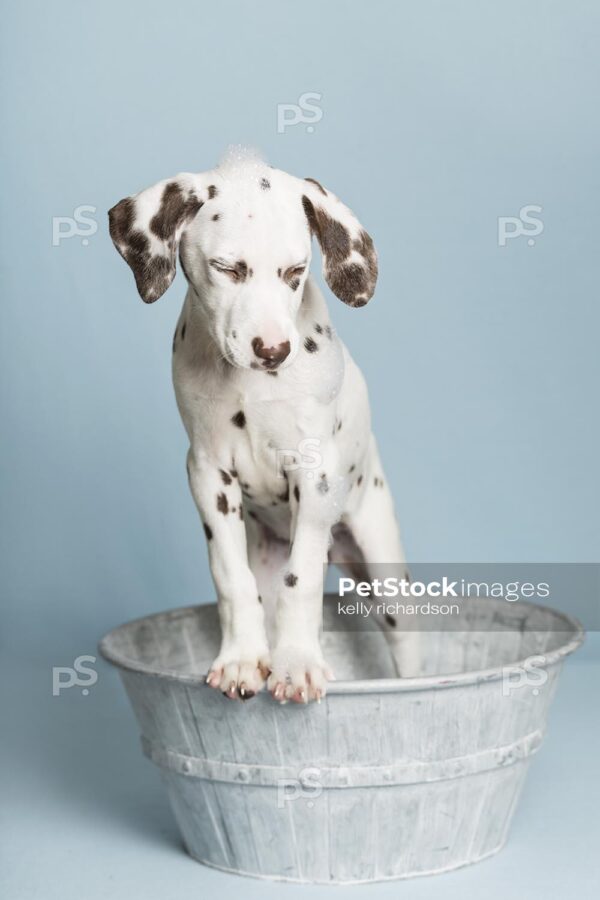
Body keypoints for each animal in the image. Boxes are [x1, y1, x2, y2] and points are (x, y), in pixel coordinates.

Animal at [109, 151, 418, 708]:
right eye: (228, 269)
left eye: (295, 271)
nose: (273, 351)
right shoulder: (208, 474)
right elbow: (231, 577)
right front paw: (240, 659)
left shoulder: (314, 477)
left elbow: (303, 581)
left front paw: (296, 666)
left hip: (386, 576)